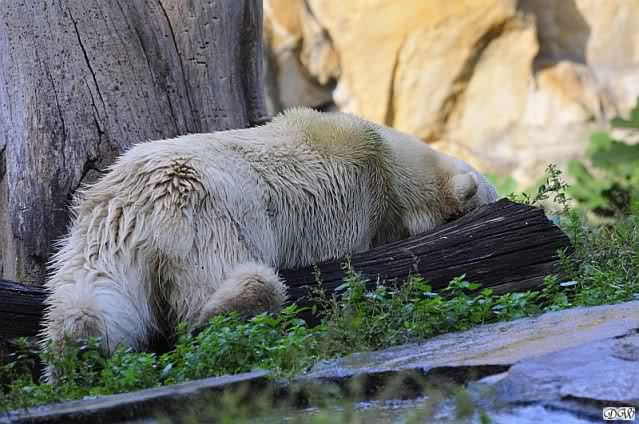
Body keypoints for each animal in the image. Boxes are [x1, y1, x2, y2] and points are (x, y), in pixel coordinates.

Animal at [40, 107, 498, 374]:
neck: (388, 161)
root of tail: (136, 203)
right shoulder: (348, 204)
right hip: (205, 218)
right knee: (224, 279)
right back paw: (234, 309)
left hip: (96, 233)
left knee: (86, 301)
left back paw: (76, 352)